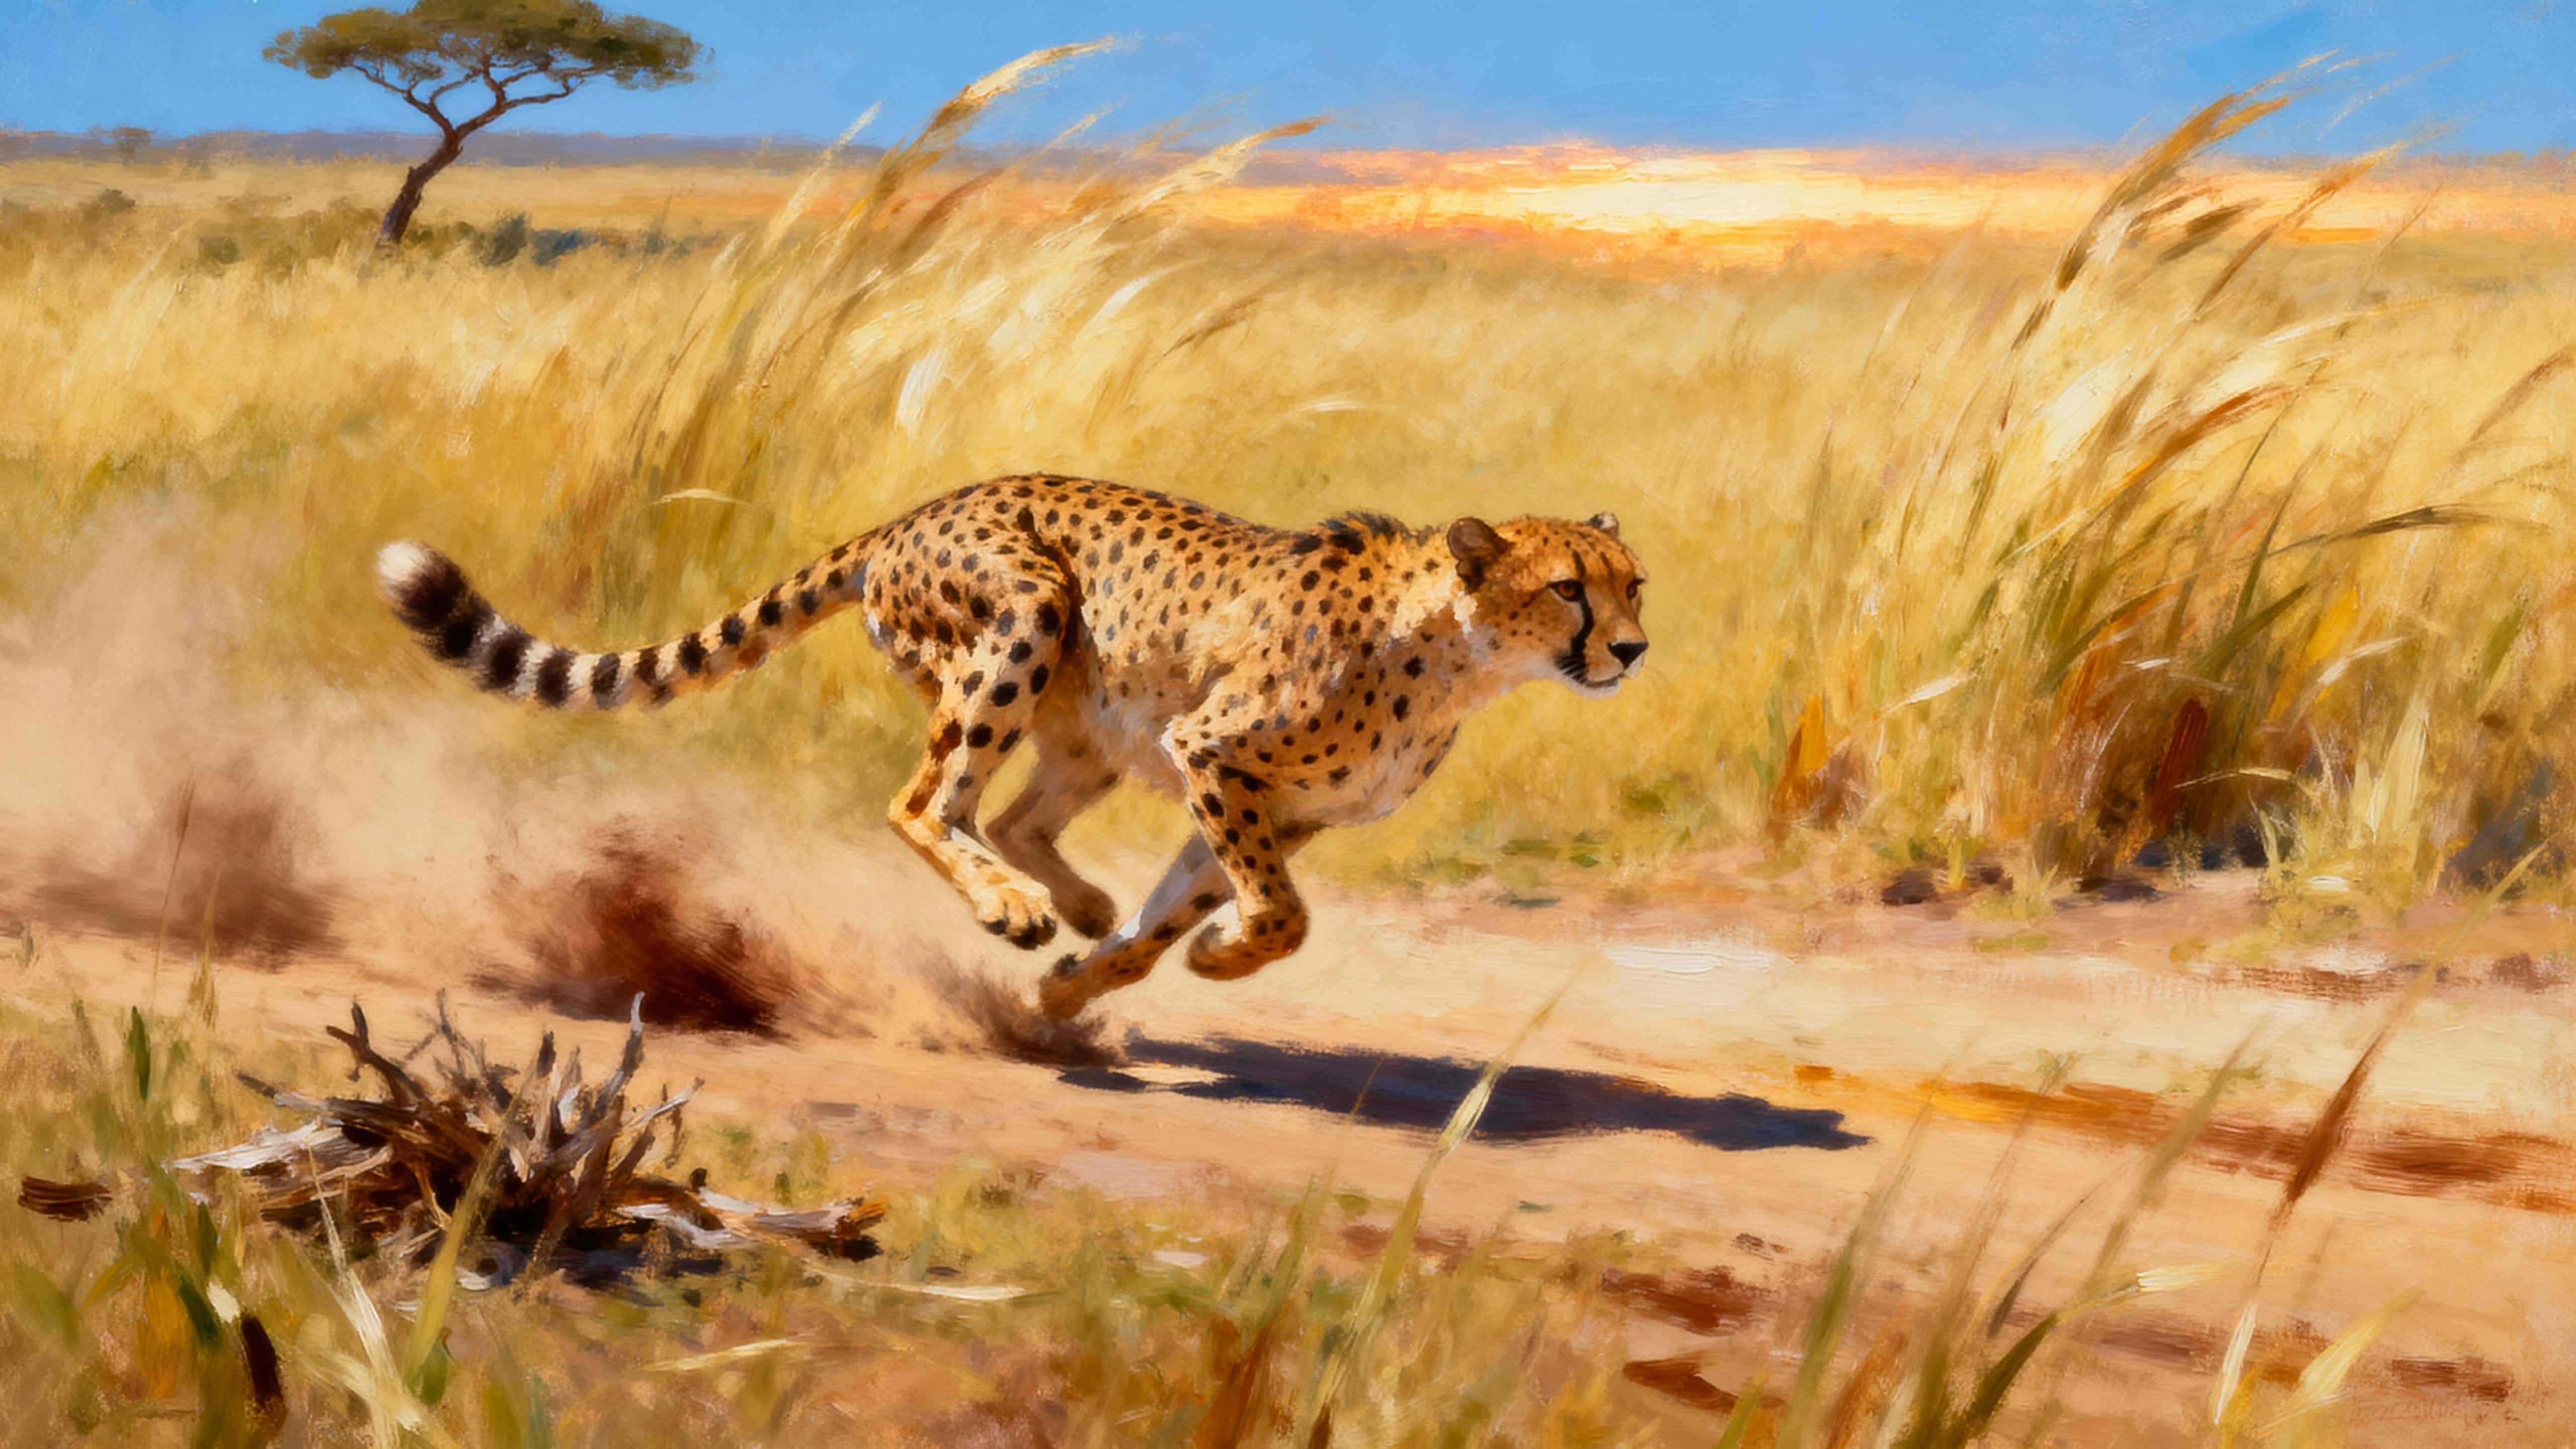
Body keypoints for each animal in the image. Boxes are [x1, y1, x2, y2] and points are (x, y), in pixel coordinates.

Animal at [375, 473, 1648, 1018]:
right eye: (1567, 590)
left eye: (1632, 583)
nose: (1631, 650)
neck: (1453, 650)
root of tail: (921, 506)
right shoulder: (1216, 754)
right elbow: (1283, 916)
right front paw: (1210, 957)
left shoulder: (1267, 805)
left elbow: (1187, 911)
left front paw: (1099, 977)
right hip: (1023, 615)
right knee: (925, 802)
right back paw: (1011, 906)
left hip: (1087, 727)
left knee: (1019, 814)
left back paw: (1070, 908)